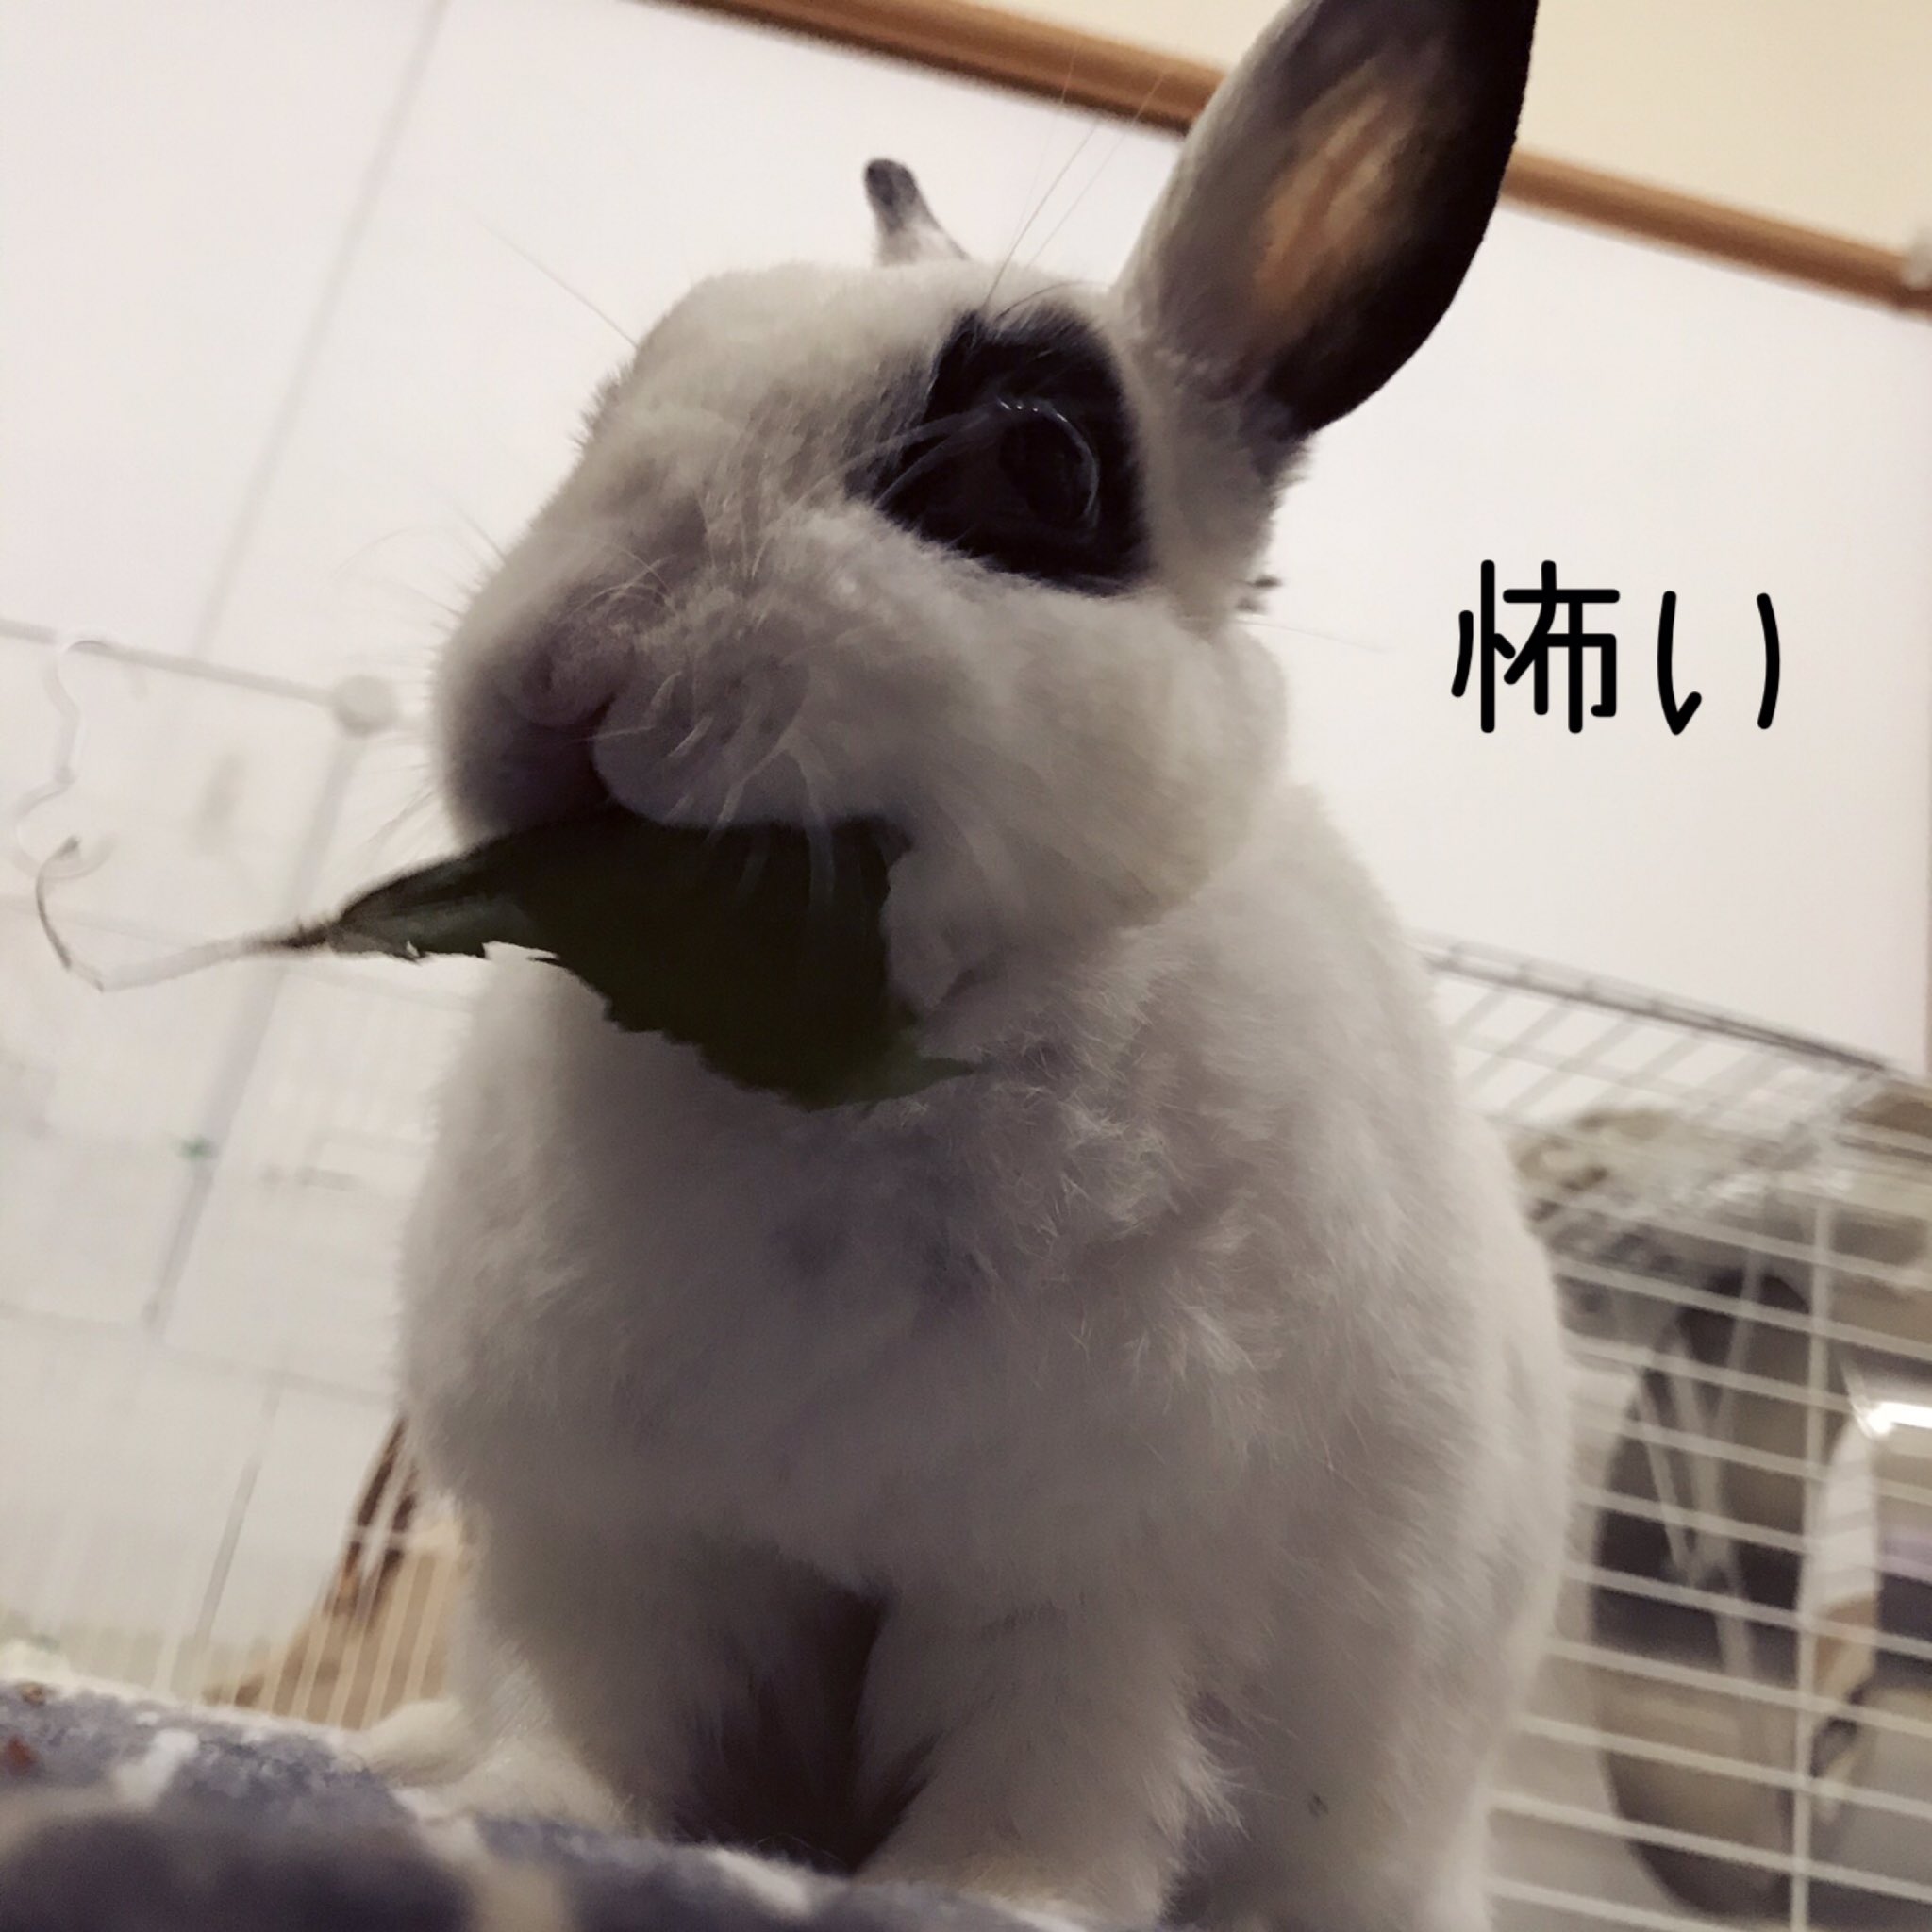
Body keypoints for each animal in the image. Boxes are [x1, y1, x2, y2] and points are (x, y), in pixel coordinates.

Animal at [373, 1, 1569, 1927]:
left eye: (1035, 466)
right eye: (620, 393)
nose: (562, 673)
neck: (823, 1067)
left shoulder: (1094, 1600)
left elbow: (1054, 1782)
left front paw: (986, 1896)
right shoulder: (626, 1549)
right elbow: (600, 1718)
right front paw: (522, 1812)